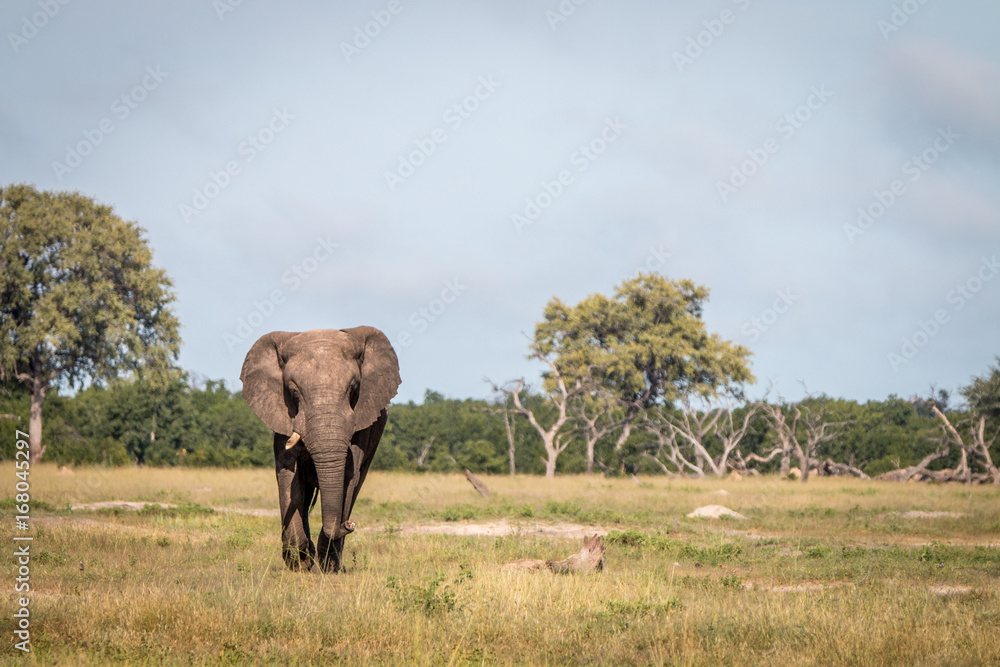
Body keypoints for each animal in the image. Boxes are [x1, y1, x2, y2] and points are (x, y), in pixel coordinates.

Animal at [240, 327, 400, 573]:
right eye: (293, 391)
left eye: (353, 389)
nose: (350, 524)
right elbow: (288, 474)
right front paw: (301, 563)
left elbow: (348, 476)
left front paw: (325, 567)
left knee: (355, 487)